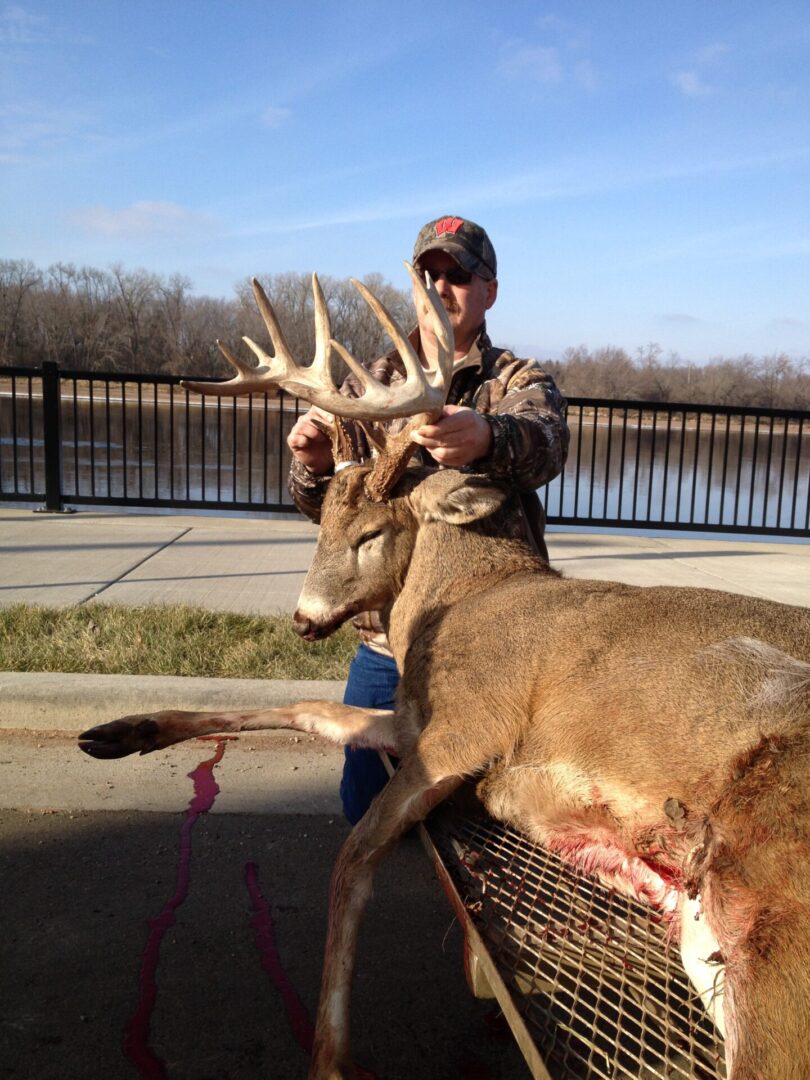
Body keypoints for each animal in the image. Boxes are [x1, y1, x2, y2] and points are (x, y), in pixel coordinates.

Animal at [79, 266, 810, 1080]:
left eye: (370, 533)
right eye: (320, 524)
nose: (302, 619)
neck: (459, 600)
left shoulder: (466, 728)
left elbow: (353, 856)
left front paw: (330, 1057)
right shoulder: (410, 720)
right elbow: (305, 708)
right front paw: (121, 731)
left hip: (775, 889)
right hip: (707, 930)